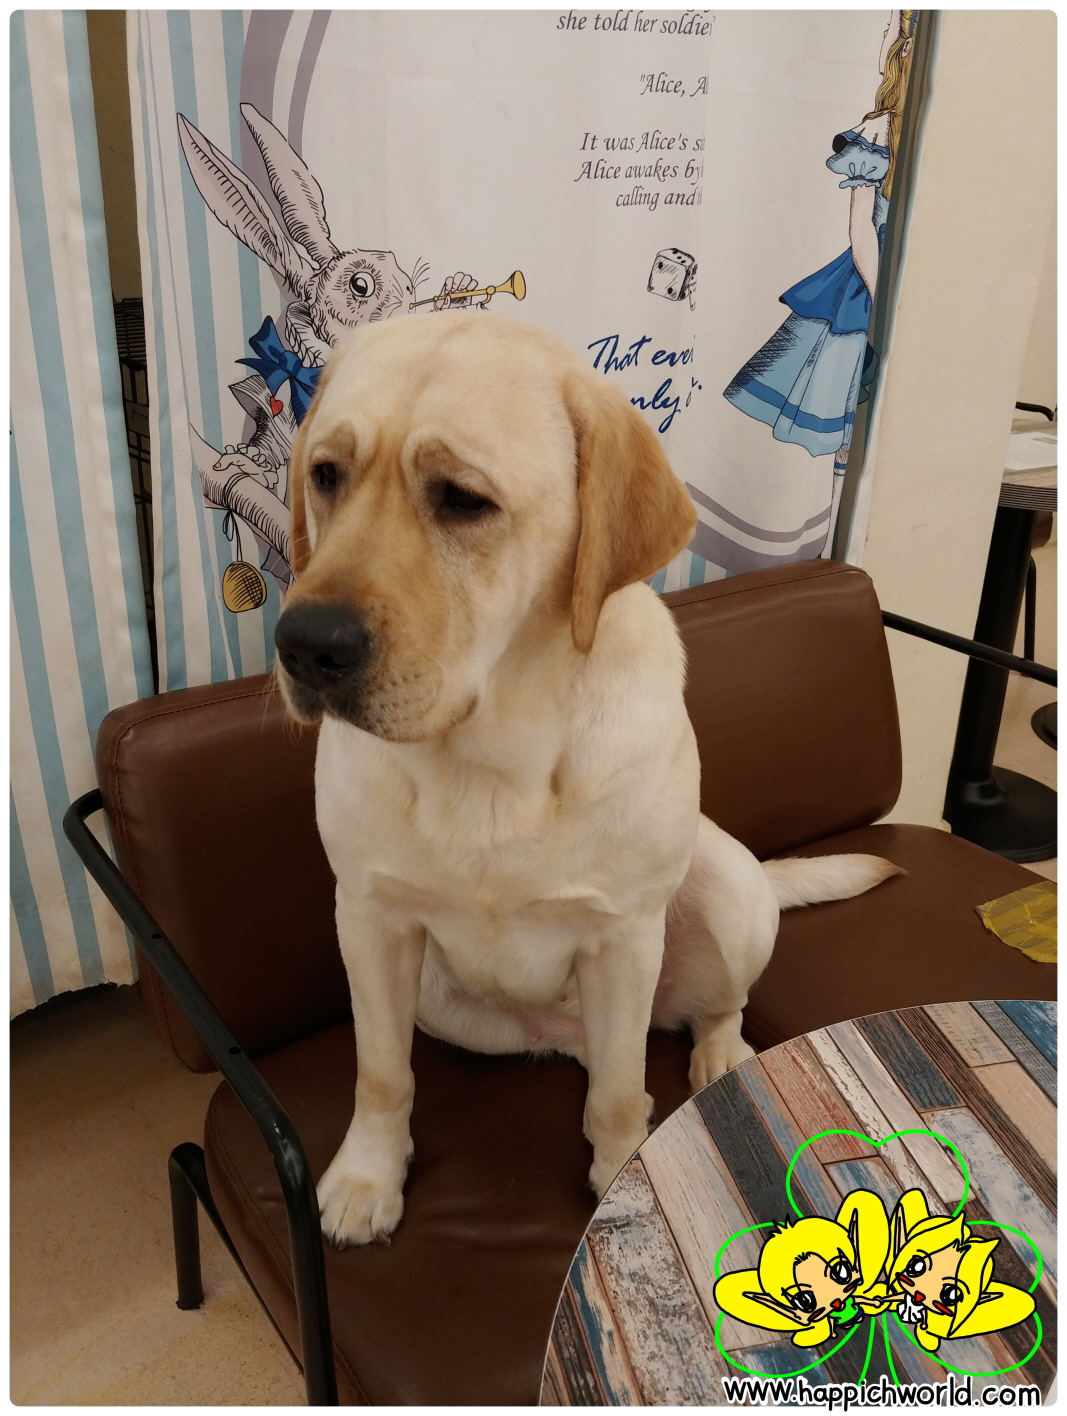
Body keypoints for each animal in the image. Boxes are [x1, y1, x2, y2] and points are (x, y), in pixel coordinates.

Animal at [273, 310, 900, 1247]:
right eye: (326, 476)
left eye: (462, 498)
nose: (305, 644)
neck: (491, 756)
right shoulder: (371, 920)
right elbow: (383, 1075)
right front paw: (366, 1179)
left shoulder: (621, 936)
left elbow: (614, 1093)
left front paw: (624, 1176)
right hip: (439, 999)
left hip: (726, 893)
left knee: (699, 1017)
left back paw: (720, 1057)